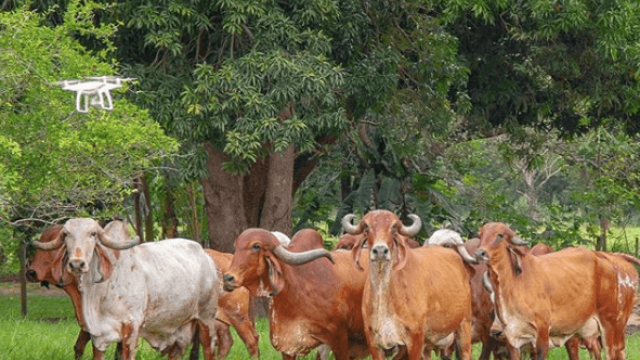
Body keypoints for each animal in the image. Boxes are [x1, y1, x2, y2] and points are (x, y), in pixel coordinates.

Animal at [344, 211, 476, 360]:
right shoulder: (374, 343)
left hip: (464, 325)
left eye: (393, 228)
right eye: (366, 227)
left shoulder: (415, 340)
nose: (380, 250)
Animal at [472, 222, 636, 360]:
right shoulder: (513, 339)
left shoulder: (542, 334)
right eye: (480, 235)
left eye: (500, 235)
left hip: (613, 325)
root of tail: (609, 258)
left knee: (615, 353)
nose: (479, 253)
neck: (514, 284)